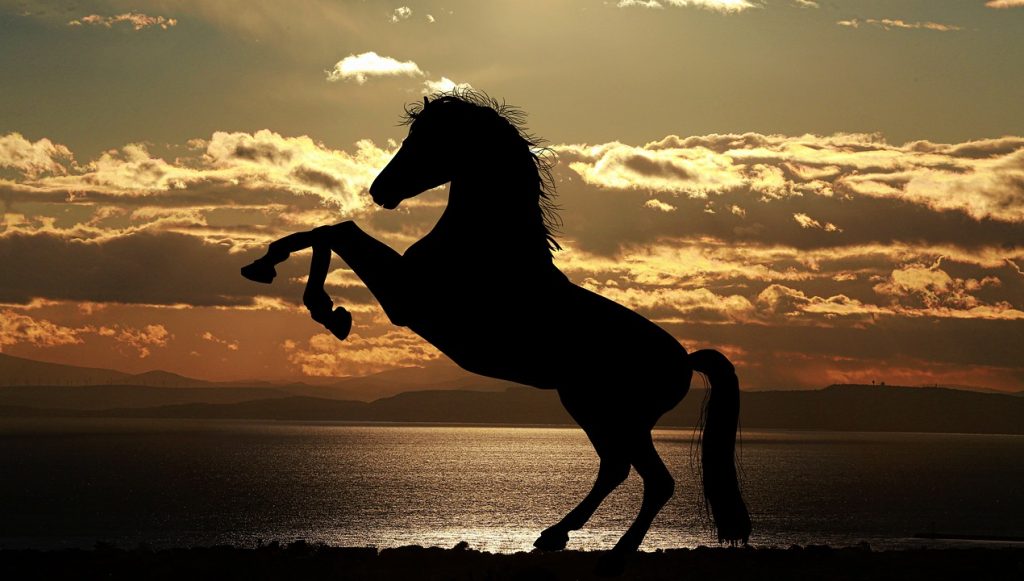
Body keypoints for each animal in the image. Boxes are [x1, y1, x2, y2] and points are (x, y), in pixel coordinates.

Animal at [241, 90, 751, 569]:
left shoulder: (406, 298)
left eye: (426, 139)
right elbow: (328, 231)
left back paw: (613, 557)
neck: (486, 246)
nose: (379, 190)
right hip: (593, 409)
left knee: (654, 481)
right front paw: (275, 273)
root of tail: (684, 360)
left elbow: (337, 231)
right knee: (616, 469)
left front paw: (323, 307)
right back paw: (554, 536)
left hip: (614, 414)